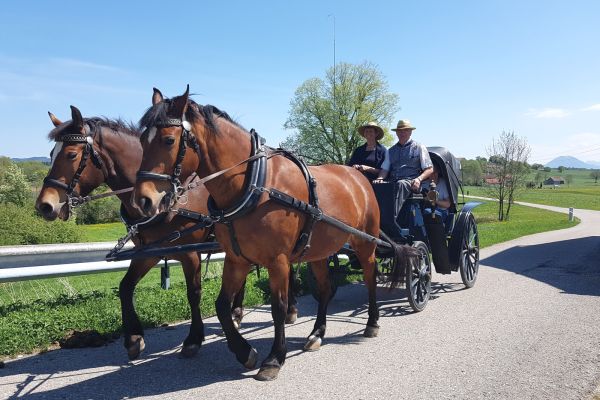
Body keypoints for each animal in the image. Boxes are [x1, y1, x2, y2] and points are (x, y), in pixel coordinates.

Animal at [34, 105, 255, 360]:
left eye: (71, 154)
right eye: (51, 153)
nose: (44, 206)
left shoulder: (190, 254)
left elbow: (193, 293)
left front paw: (193, 340)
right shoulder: (147, 252)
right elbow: (125, 287)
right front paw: (133, 338)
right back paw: (237, 312)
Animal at [132, 87, 412, 382]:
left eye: (168, 140)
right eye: (141, 140)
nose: (143, 201)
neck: (254, 184)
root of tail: (358, 177)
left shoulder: (277, 260)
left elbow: (278, 307)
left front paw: (274, 358)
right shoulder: (236, 259)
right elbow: (222, 306)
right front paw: (244, 352)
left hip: (365, 243)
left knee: (370, 278)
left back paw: (372, 322)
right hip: (319, 250)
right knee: (326, 288)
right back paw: (316, 334)